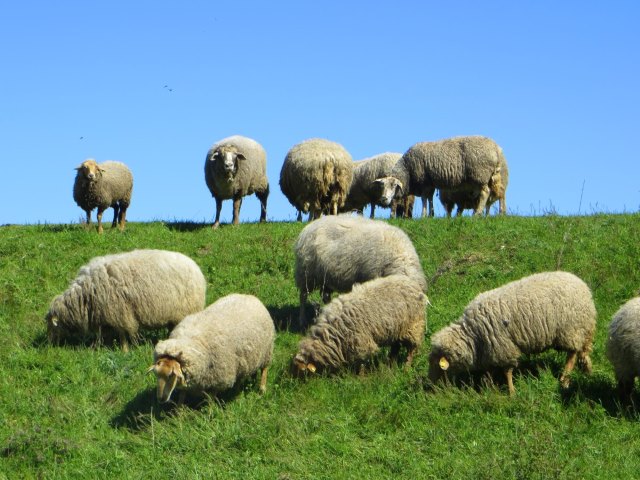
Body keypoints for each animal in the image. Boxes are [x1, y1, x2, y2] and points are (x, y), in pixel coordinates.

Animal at [46, 249, 206, 350]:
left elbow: (123, 333)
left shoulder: (120, 312)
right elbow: (104, 334)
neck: (85, 295)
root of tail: (196, 268)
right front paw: (99, 346)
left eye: (52, 327)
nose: (51, 346)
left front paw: (124, 349)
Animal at [294, 214, 424, 326]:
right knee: (303, 296)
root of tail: (311, 225)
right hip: (306, 273)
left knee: (325, 295)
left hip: (326, 276)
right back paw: (302, 320)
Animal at [294, 274, 424, 376]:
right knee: (395, 347)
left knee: (411, 348)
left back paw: (406, 367)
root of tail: (412, 283)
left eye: (301, 371)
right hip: (397, 329)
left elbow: (361, 362)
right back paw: (390, 364)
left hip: (414, 326)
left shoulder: (360, 343)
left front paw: (360, 377)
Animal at [376, 136, 504, 217]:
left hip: (480, 175)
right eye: (382, 186)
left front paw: (423, 215)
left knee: (485, 193)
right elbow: (430, 198)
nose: (383, 199)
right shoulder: (430, 183)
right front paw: (431, 215)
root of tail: (496, 149)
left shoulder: (424, 182)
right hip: (487, 177)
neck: (408, 171)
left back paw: (477, 214)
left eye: (394, 186)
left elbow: (424, 199)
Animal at [428, 272, 596, 396]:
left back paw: (564, 380)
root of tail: (584, 288)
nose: (430, 386)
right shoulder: (490, 350)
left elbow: (507, 371)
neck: (472, 334)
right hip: (578, 330)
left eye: (437, 365)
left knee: (572, 356)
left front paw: (511, 392)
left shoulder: (504, 348)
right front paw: (489, 388)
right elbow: (489, 372)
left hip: (571, 331)